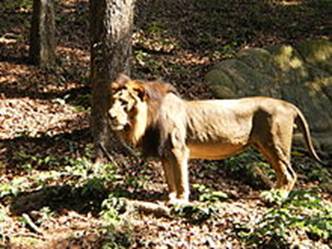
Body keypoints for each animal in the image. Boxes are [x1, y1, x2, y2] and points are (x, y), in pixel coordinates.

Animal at [107, 73, 322, 204]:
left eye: (124, 103)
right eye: (113, 101)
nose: (109, 115)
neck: (147, 119)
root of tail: (289, 105)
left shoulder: (178, 150)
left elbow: (181, 178)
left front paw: (180, 200)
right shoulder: (165, 153)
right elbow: (170, 179)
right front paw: (170, 196)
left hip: (275, 144)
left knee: (290, 174)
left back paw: (277, 198)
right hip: (265, 146)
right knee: (281, 173)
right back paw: (271, 193)